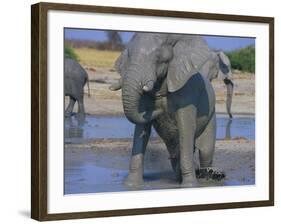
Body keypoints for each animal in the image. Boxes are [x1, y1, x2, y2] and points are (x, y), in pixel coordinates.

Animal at [109, 33, 223, 187]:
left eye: (158, 58)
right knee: (176, 154)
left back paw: (208, 176)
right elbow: (141, 129)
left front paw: (189, 186)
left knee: (206, 151)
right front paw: (131, 185)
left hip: (211, 116)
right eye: (128, 55)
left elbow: (185, 128)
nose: (159, 109)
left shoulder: (188, 90)